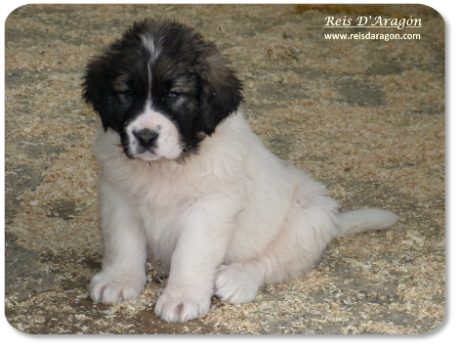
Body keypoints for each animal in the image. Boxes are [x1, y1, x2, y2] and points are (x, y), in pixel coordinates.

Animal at [82, 19, 398, 324]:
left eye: (174, 94)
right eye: (126, 93)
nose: (146, 136)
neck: (167, 166)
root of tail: (334, 223)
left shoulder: (211, 207)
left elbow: (191, 253)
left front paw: (182, 297)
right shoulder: (118, 195)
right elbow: (122, 242)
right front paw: (118, 280)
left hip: (310, 217)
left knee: (271, 262)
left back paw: (237, 278)